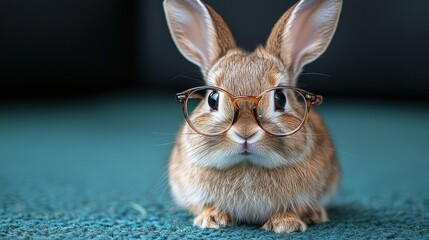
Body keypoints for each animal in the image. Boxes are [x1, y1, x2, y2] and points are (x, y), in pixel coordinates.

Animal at [164, 0, 342, 234]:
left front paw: (285, 224)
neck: (246, 164)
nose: (245, 133)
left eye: (280, 98)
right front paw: (211, 218)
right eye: (212, 99)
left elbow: (295, 208)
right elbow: (202, 205)